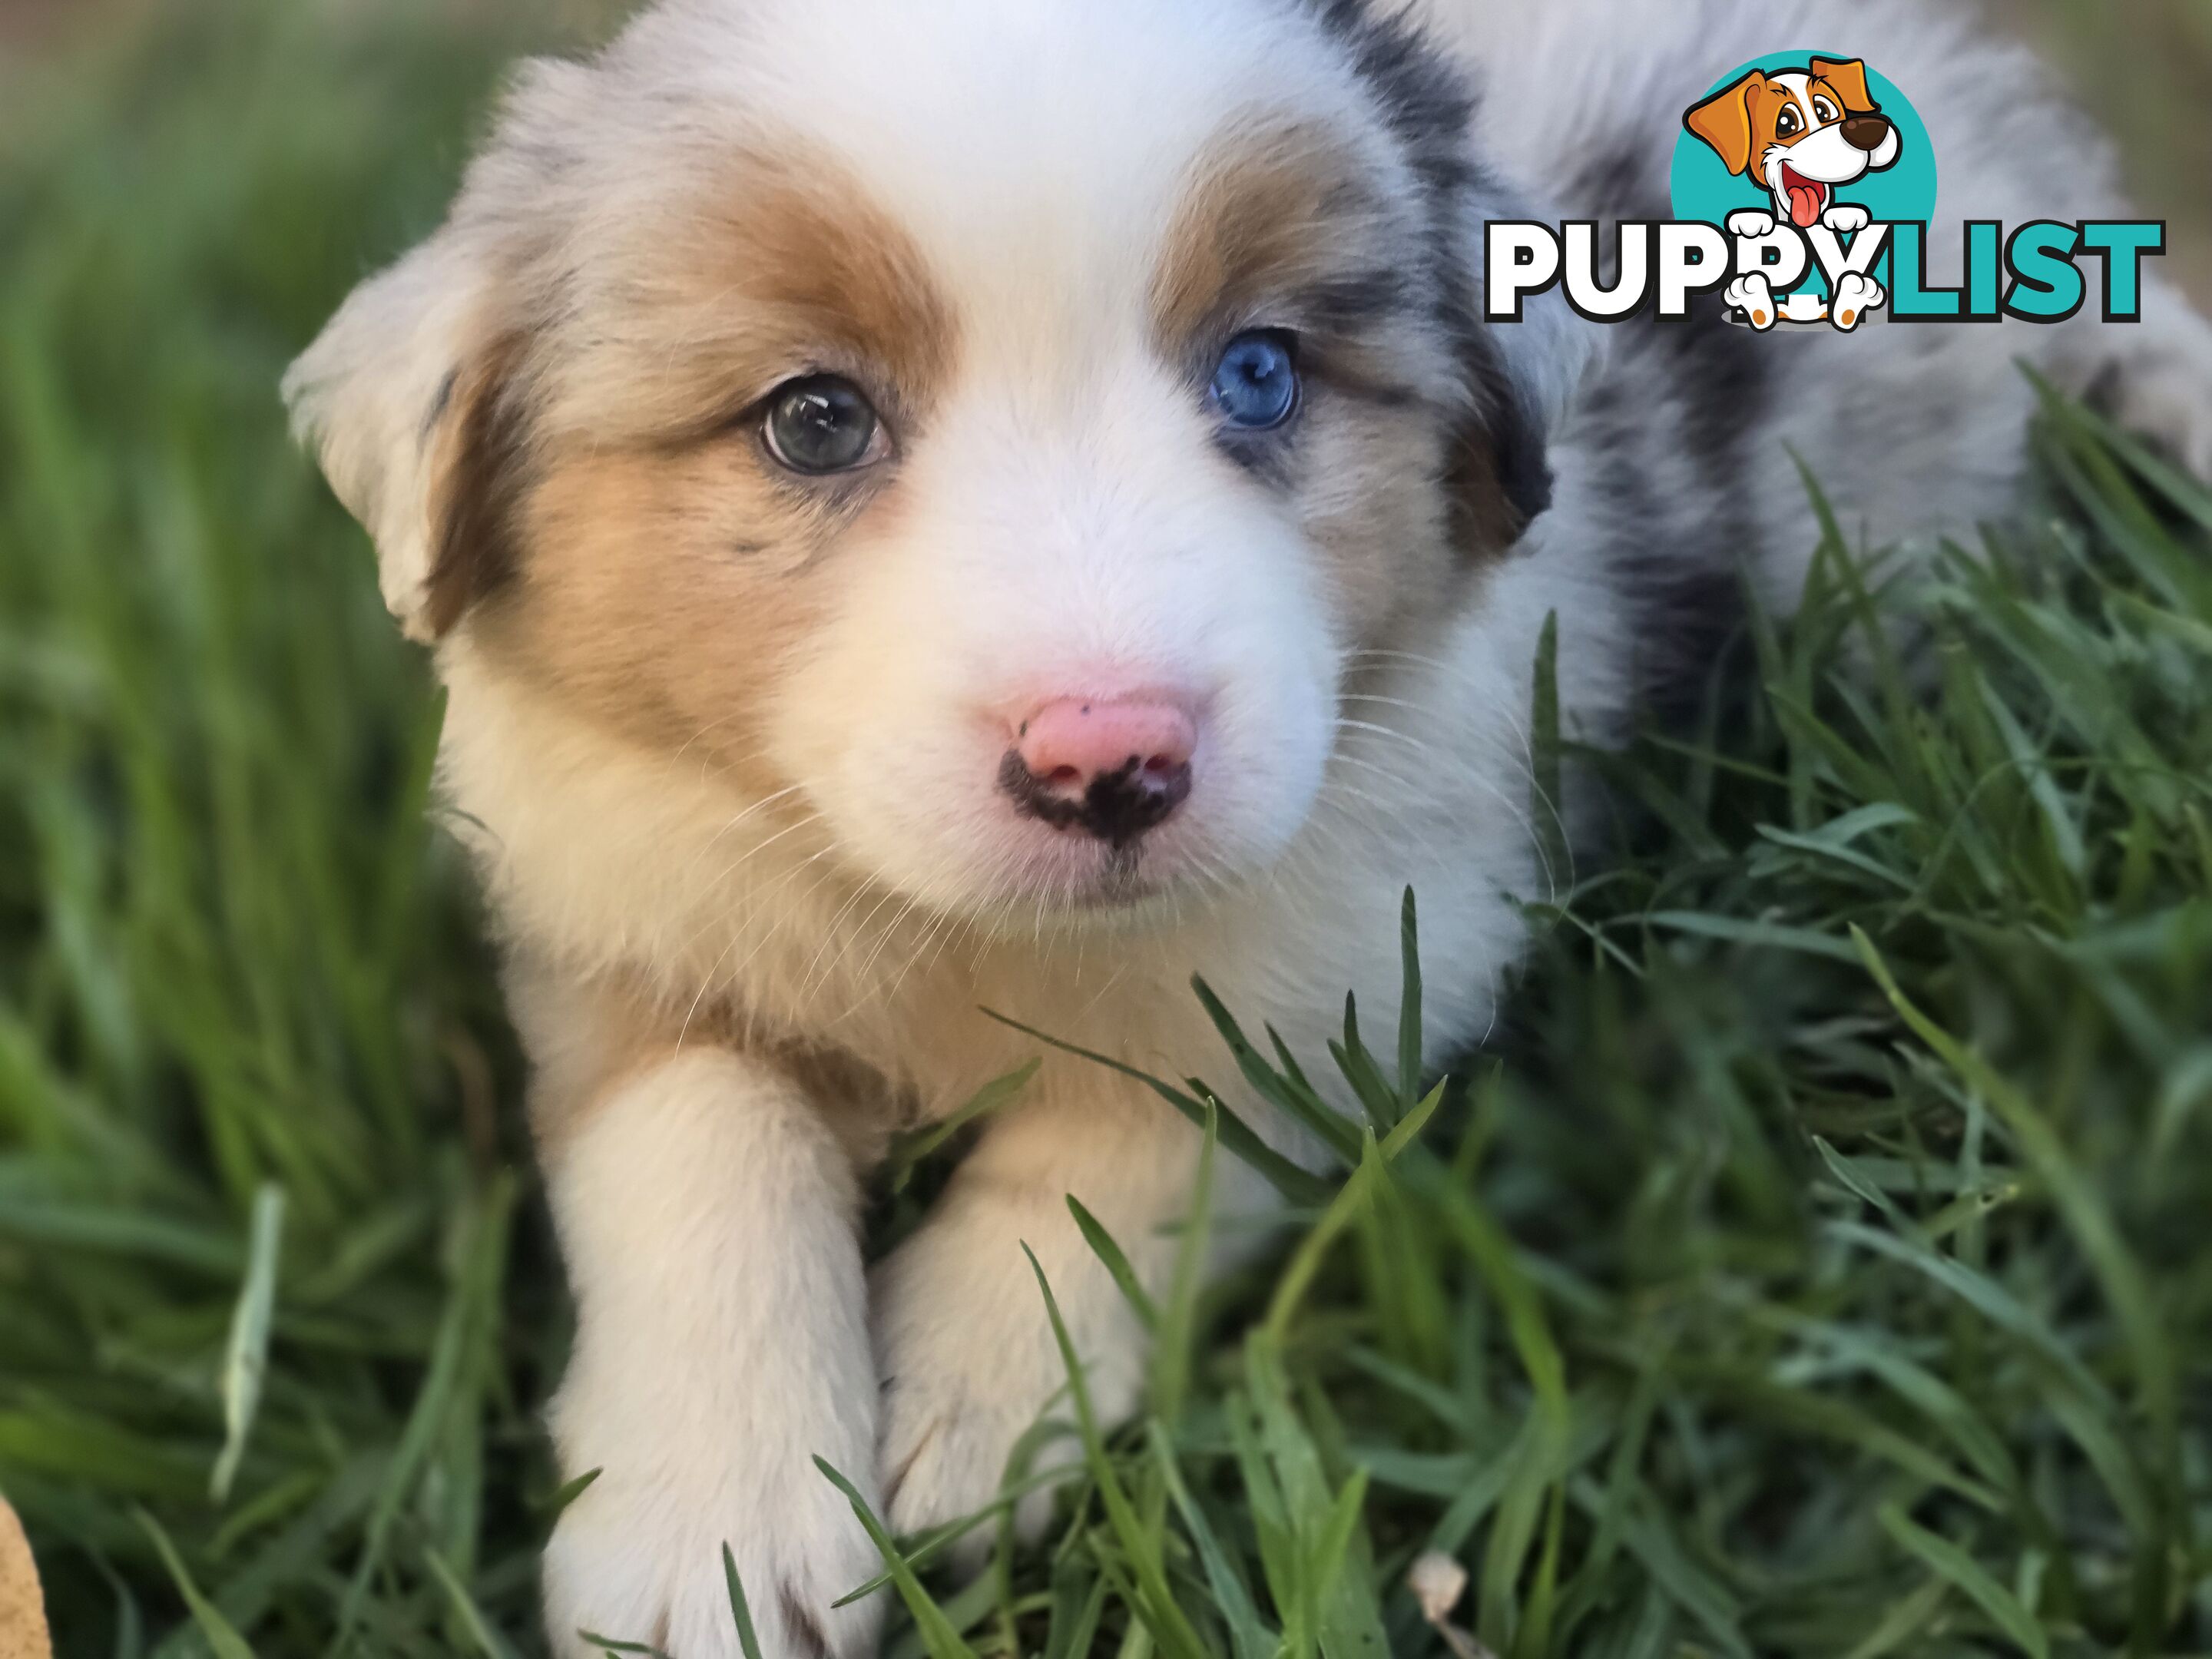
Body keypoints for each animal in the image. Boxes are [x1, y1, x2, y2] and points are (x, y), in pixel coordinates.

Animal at [285, 0, 2212, 1654]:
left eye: (1263, 375)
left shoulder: (1371, 934)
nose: (1108, 762)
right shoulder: (619, 906)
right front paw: (713, 1540)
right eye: (813, 418)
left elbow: (1134, 1138)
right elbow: (698, 1159)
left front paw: (969, 1404)